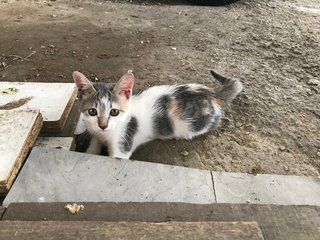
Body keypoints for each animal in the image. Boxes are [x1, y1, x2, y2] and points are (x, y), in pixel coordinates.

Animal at [72, 70, 242, 159]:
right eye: (92, 111)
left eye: (114, 112)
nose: (103, 125)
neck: (105, 135)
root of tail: (213, 93)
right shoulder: (95, 132)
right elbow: (92, 147)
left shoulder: (123, 144)